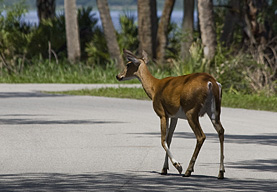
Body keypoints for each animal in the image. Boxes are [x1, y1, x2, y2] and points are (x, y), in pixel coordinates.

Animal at [115, 49, 224, 178]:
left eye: (128, 64)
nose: (118, 76)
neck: (154, 88)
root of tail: (211, 82)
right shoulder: (174, 116)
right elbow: (169, 139)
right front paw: (164, 168)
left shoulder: (162, 113)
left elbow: (163, 140)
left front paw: (177, 166)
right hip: (214, 111)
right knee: (221, 131)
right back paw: (221, 172)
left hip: (191, 110)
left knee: (201, 136)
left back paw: (188, 170)